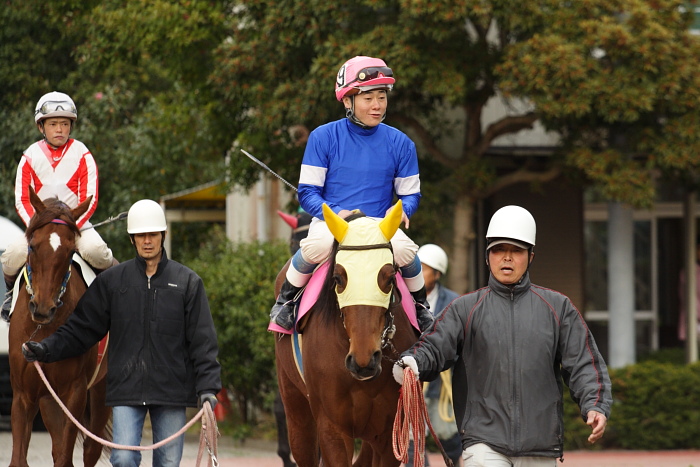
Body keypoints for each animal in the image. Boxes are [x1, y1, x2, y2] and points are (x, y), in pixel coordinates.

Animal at [7, 187, 110, 467]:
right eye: (32, 246)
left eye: (70, 250)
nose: (43, 308)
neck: (43, 332)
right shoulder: (23, 394)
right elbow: (20, 458)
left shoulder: (75, 393)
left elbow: (66, 456)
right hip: (48, 400)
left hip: (101, 392)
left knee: (90, 449)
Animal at [272, 203, 416, 466]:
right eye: (338, 278)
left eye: (390, 278)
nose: (364, 360)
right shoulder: (333, 428)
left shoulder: (389, 432)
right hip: (296, 408)